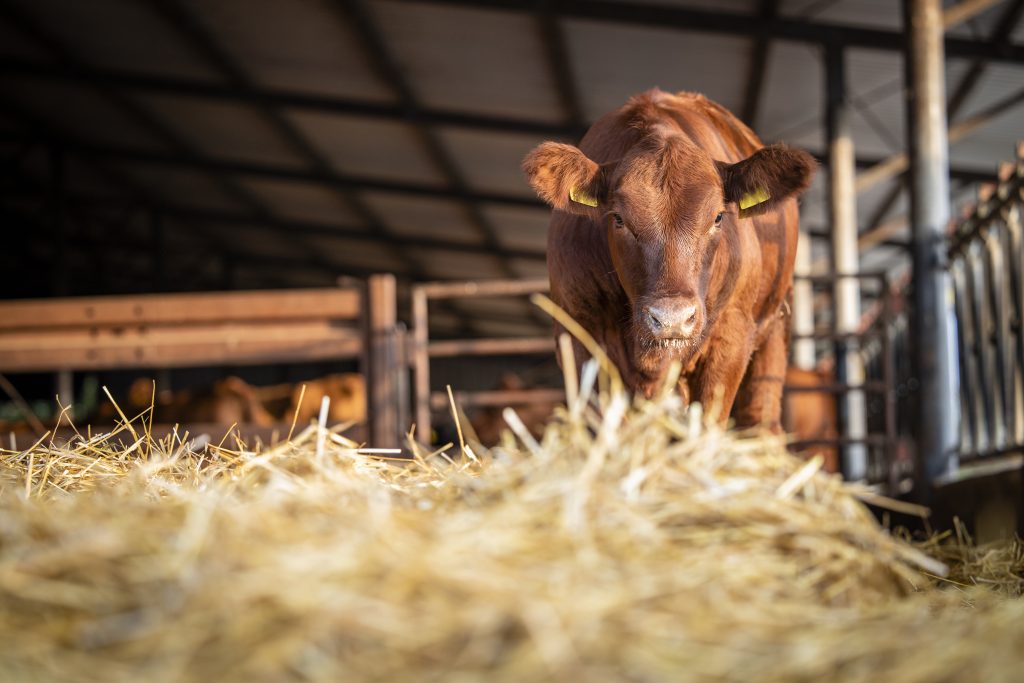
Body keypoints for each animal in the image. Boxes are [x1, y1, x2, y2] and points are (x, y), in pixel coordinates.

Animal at [524, 87, 811, 423]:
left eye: (718, 217)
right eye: (618, 219)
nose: (672, 318)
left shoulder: (731, 337)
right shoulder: (578, 334)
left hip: (775, 327)